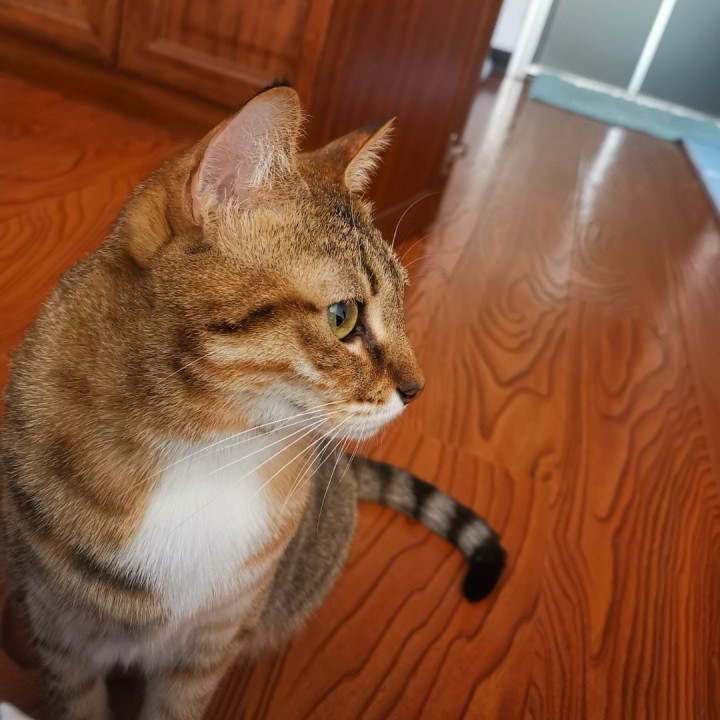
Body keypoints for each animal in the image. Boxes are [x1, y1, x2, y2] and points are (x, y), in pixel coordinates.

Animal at [0, 84, 505, 720]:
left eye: (402, 304)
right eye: (343, 317)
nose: (417, 390)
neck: (205, 448)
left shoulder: (210, 645)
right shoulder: (63, 632)